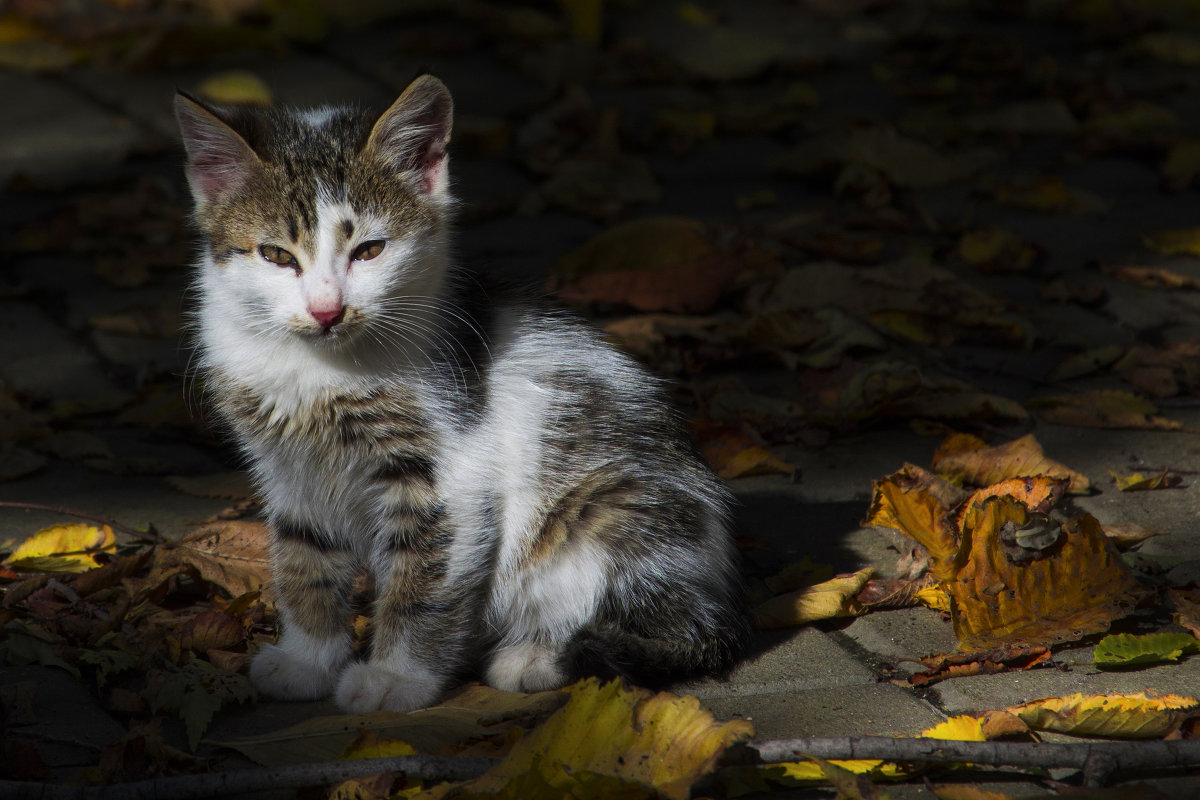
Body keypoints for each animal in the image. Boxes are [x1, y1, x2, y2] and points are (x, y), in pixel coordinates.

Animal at [175, 74, 748, 714]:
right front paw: (308, 658)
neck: (315, 368)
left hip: (612, 512)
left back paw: (536, 655)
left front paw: (395, 677)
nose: (327, 310)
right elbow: (304, 556)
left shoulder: (454, 471)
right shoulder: (288, 465)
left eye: (369, 250)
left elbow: (425, 575)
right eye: (276, 255)